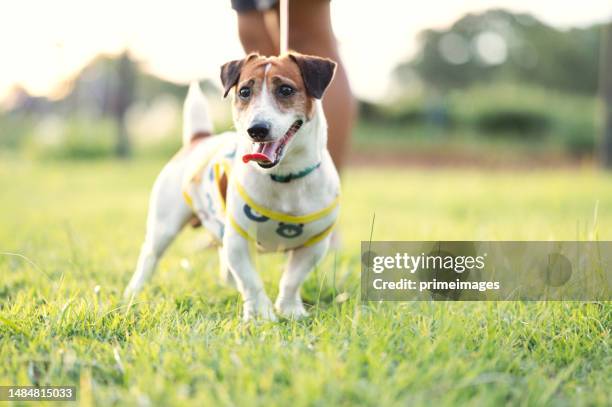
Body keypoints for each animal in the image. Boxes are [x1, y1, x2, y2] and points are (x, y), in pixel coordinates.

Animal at [123, 51, 340, 322]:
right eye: (245, 91)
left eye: (286, 90)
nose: (256, 130)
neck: (284, 177)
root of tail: (198, 139)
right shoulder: (238, 239)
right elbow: (251, 281)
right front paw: (261, 315)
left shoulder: (314, 244)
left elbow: (292, 279)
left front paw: (290, 310)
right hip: (164, 225)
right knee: (150, 256)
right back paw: (134, 291)